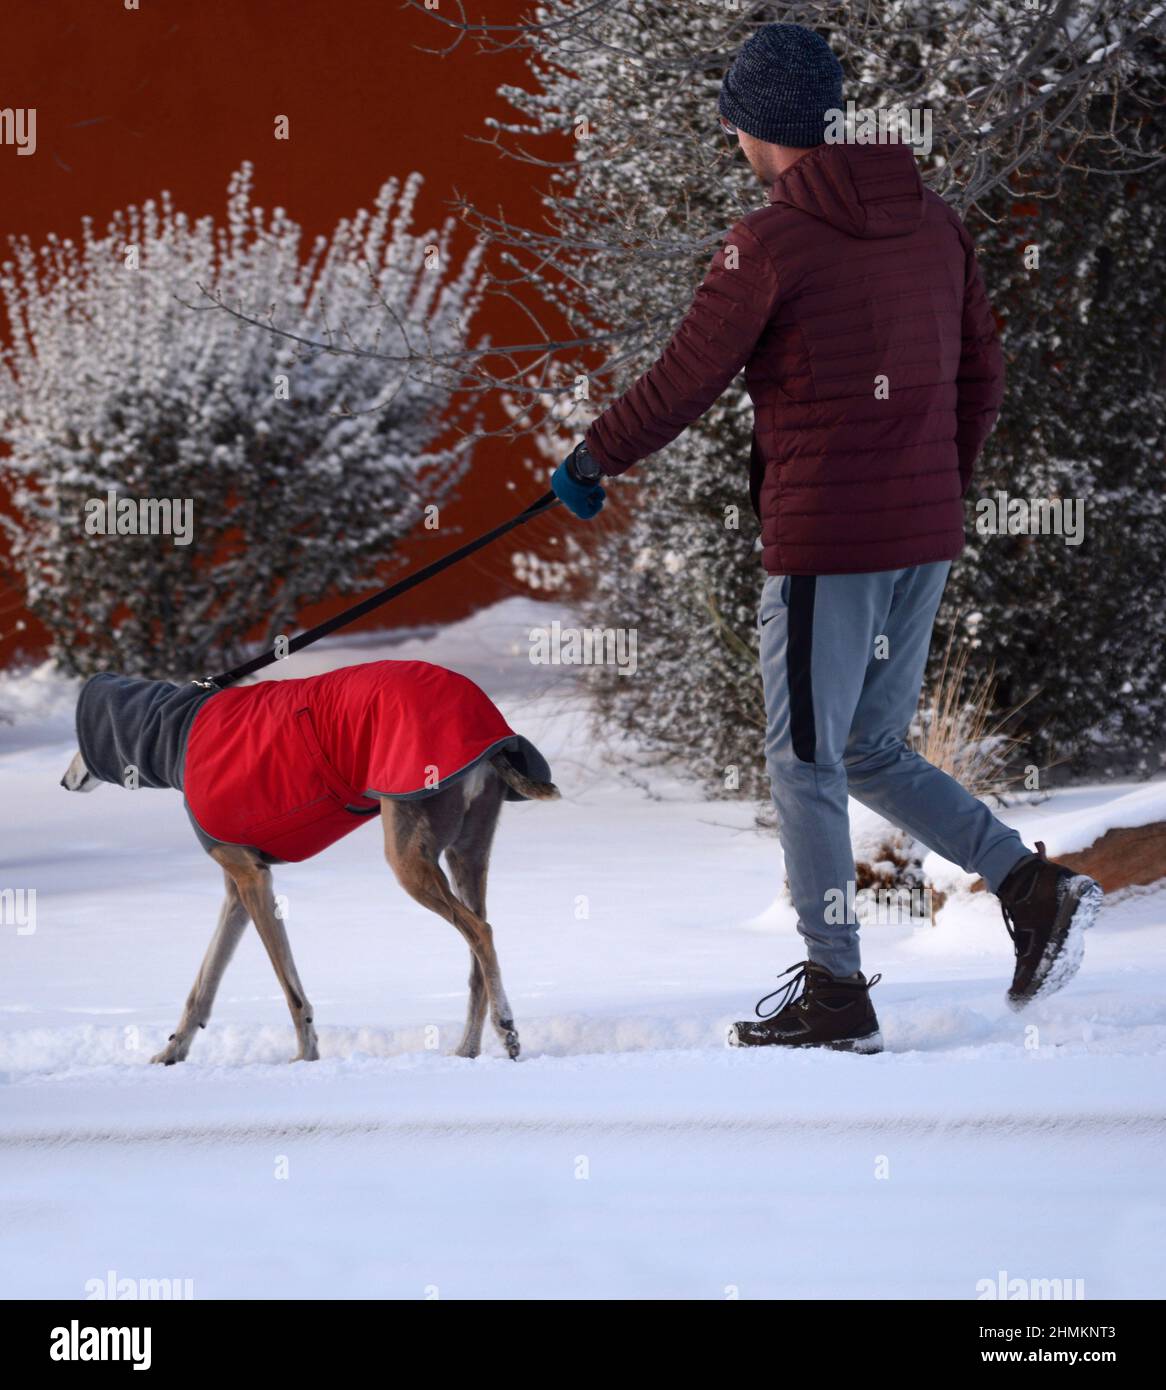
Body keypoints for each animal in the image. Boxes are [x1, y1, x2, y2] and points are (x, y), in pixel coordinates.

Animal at [60, 658, 561, 1061]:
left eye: (77, 742)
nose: (64, 782)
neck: (177, 733)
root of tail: (491, 733)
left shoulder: (253, 879)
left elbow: (290, 989)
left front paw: (306, 1056)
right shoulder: (237, 888)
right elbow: (203, 985)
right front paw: (171, 1052)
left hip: (408, 855)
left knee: (480, 932)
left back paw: (505, 1026)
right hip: (466, 853)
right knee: (477, 948)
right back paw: (470, 1048)